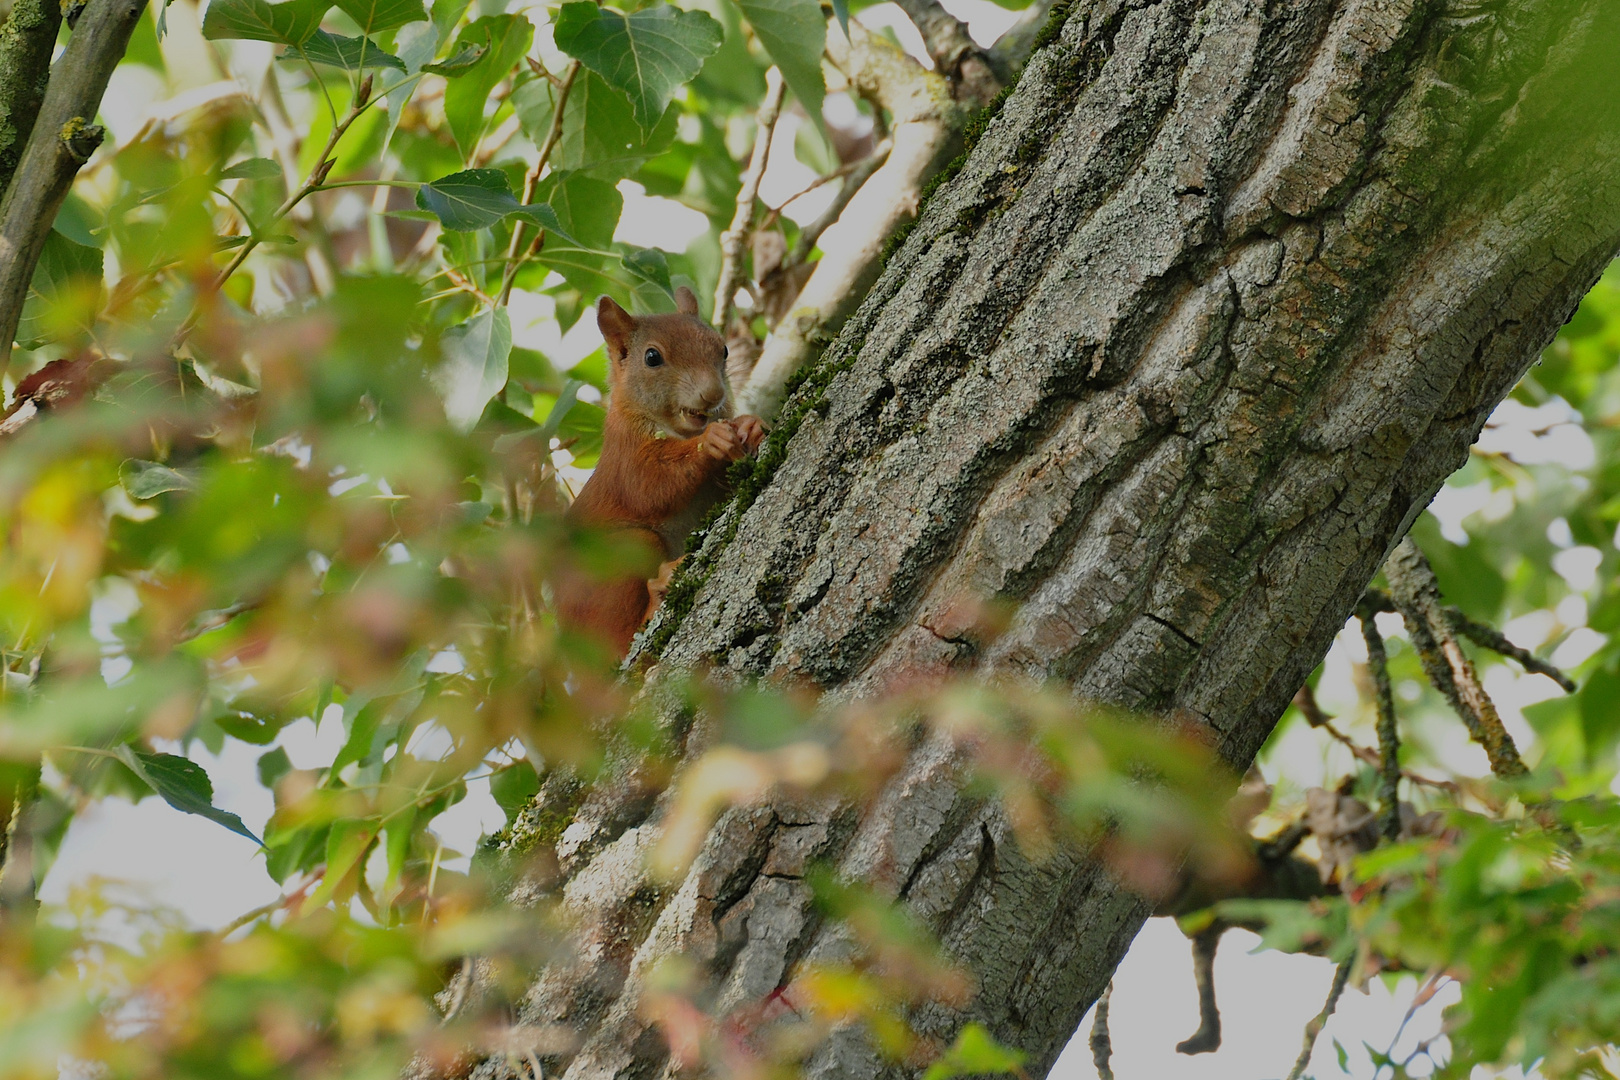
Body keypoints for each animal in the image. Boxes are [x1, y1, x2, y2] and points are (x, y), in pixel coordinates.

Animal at [554, 284, 761, 660]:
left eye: (723, 348)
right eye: (652, 357)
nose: (713, 394)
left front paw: (751, 427)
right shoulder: (624, 457)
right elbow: (650, 487)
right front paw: (711, 441)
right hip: (621, 554)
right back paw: (658, 590)